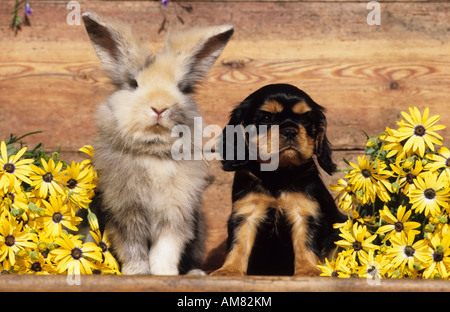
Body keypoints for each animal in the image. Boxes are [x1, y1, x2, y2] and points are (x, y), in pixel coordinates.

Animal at [82, 12, 234, 276]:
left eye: (181, 88)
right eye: (133, 83)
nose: (159, 107)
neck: (153, 153)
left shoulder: (176, 214)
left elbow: (167, 247)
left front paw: (164, 273)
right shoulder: (124, 212)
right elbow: (132, 246)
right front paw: (138, 272)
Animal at [211, 84, 344, 276]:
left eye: (305, 119)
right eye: (266, 118)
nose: (290, 131)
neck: (277, 174)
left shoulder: (305, 211)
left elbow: (306, 242)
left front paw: (308, 270)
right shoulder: (245, 212)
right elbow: (238, 243)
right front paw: (229, 270)